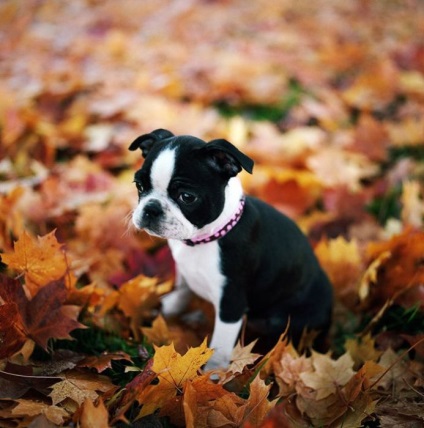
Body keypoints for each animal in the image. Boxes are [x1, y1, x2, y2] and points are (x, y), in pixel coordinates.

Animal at [128, 129, 332, 370]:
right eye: (139, 186)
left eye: (187, 197)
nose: (151, 209)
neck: (205, 239)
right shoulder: (184, 271)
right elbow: (182, 291)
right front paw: (168, 311)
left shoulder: (231, 302)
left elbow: (220, 344)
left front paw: (214, 373)